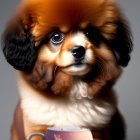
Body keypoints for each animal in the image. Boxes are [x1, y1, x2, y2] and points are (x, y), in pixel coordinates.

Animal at [1, 0, 132, 140]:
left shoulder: (98, 130)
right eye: (56, 37)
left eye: (90, 33)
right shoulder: (37, 127)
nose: (79, 50)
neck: (73, 88)